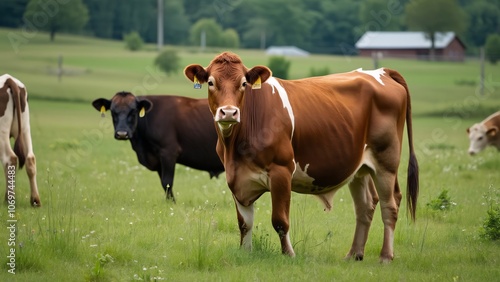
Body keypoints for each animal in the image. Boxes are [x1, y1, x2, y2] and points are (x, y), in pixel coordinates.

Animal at [0, 74, 40, 207]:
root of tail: (9, 79)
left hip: (2, 132)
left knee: (10, 159)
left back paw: (8, 199)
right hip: (25, 127)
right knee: (30, 159)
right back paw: (35, 200)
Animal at [92, 91, 225, 202]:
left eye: (133, 111)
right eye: (113, 112)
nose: (122, 133)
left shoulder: (168, 152)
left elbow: (167, 182)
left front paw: (172, 203)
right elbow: (163, 183)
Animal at [184, 51, 418, 264]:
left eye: (243, 83)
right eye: (211, 82)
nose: (229, 112)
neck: (235, 147)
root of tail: (381, 71)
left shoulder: (281, 171)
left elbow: (280, 221)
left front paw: (289, 254)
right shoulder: (235, 177)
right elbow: (244, 222)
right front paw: (245, 252)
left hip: (386, 161)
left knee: (390, 204)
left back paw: (385, 256)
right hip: (360, 167)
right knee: (366, 205)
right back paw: (354, 254)